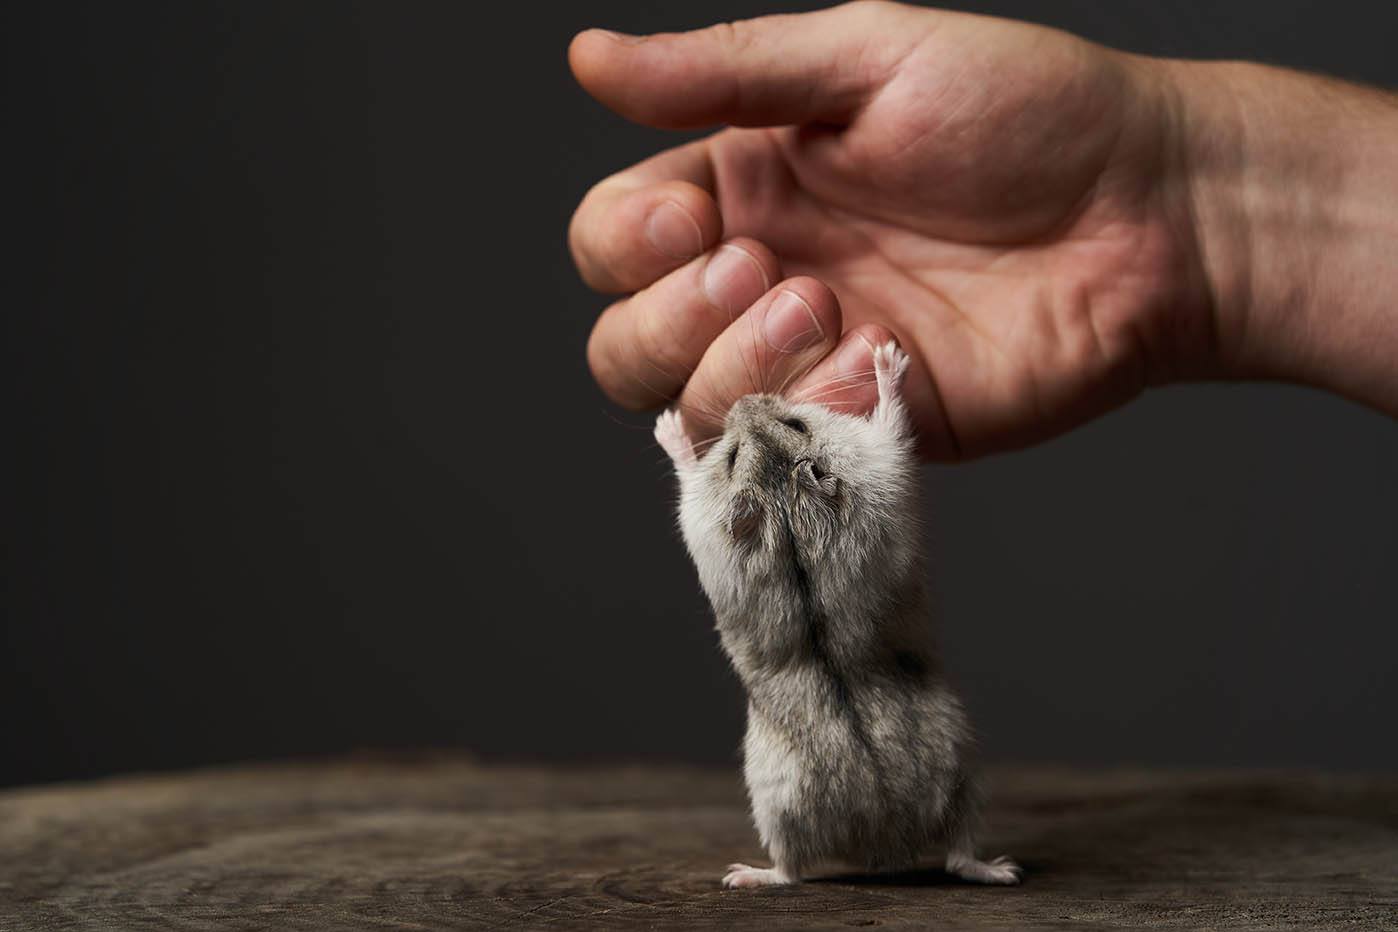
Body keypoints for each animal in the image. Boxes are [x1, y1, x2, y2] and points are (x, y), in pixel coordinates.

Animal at [655, 342, 1020, 889]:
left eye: (795, 422)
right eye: (733, 455)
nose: (743, 399)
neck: (785, 497)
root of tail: (885, 838)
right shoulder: (880, 457)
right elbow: (891, 417)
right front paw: (888, 357)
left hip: (953, 777)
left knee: (945, 858)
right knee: (797, 870)